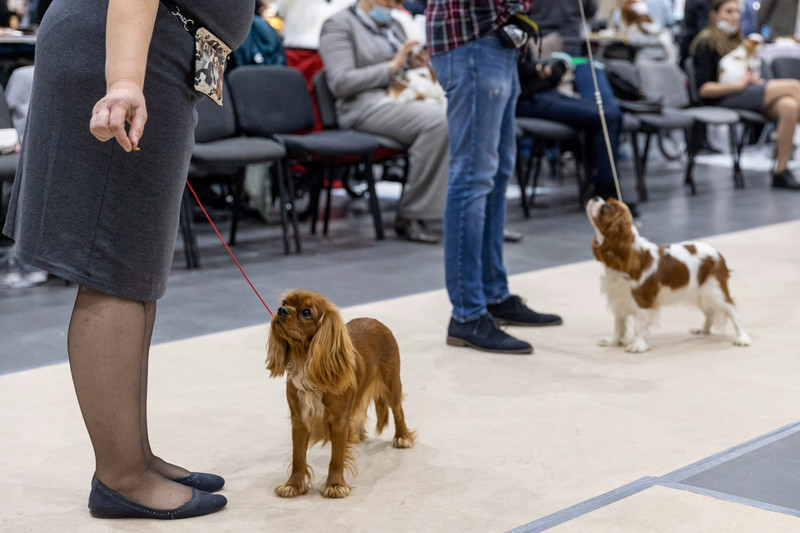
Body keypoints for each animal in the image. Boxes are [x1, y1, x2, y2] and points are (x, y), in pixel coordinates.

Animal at [266, 288, 416, 496]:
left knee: (398, 410)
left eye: (307, 312)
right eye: (285, 302)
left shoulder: (339, 422)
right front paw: (293, 485)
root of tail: (375, 321)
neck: (304, 362)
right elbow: (298, 457)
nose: (281, 311)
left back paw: (402, 438)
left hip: (392, 383)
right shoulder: (299, 420)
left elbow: (336, 458)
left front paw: (335, 485)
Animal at [588, 197, 752, 352]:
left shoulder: (643, 300)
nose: (595, 197)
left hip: (716, 292)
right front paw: (613, 341)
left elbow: (638, 325)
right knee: (710, 312)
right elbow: (618, 323)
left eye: (606, 207)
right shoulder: (619, 297)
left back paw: (742, 338)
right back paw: (703, 330)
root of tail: (717, 253)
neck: (628, 252)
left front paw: (638, 345)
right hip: (700, 294)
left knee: (733, 311)